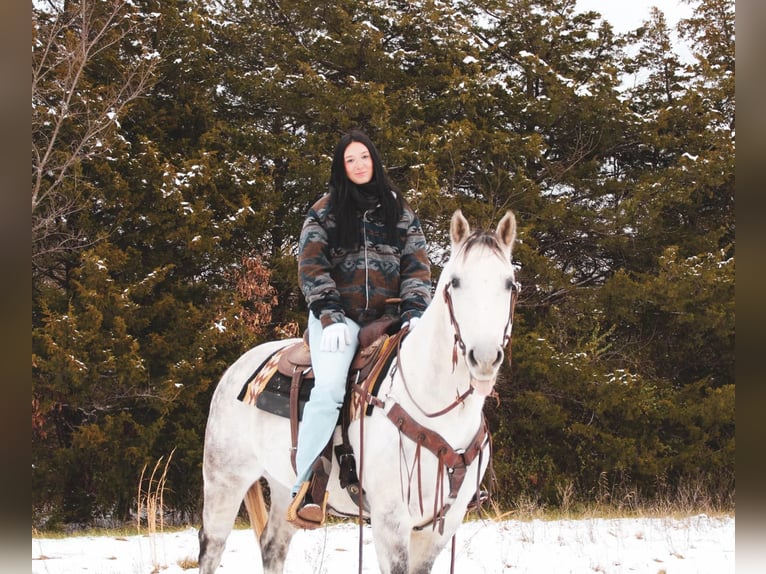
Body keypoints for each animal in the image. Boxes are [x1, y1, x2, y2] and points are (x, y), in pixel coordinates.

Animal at [198, 210, 520, 574]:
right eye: (455, 282)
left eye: (509, 284)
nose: (484, 357)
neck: (435, 408)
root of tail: (237, 369)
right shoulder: (390, 520)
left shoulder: (442, 525)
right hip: (225, 480)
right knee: (212, 547)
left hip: (283, 486)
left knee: (272, 545)